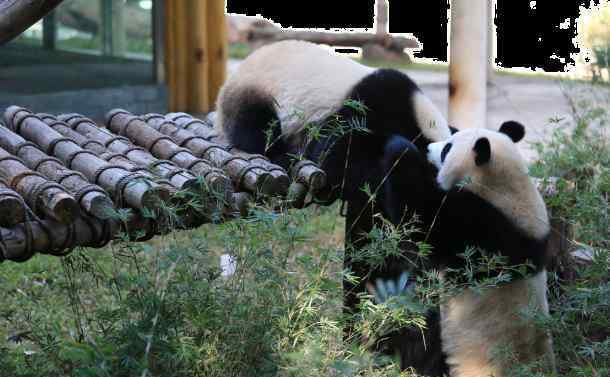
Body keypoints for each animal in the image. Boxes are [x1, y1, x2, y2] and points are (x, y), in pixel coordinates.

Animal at [216, 39, 552, 374]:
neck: (420, 121)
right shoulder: (370, 105)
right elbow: (336, 151)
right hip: (262, 93)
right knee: (259, 129)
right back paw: (282, 154)